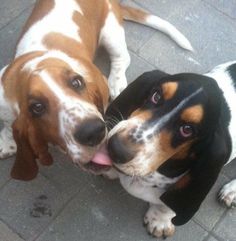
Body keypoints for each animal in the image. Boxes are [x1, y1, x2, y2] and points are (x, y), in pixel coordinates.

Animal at [0, 0, 193, 181]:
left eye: (77, 82)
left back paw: (117, 81)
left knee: (122, 57)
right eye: (37, 107)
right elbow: (8, 122)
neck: (38, 63)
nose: (93, 131)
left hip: (111, 33)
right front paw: (7, 141)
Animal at [99, 61, 236, 238]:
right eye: (156, 96)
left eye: (187, 129)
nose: (116, 148)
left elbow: (167, 206)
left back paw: (231, 192)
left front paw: (159, 222)